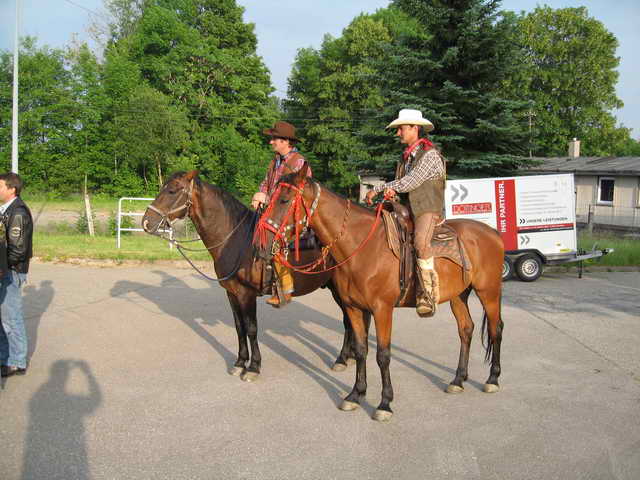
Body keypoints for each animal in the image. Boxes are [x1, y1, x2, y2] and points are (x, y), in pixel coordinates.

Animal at [142, 170, 361, 382]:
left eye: (172, 191)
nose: (146, 222)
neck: (235, 240)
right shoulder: (232, 293)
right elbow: (239, 328)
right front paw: (240, 363)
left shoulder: (246, 294)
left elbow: (252, 328)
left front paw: (253, 367)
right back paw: (347, 357)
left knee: (348, 321)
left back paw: (342, 358)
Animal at [258, 164, 505, 422]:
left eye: (284, 200)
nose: (263, 244)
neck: (361, 248)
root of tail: (492, 232)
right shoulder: (354, 308)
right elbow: (361, 350)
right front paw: (355, 394)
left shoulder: (382, 310)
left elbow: (383, 355)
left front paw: (385, 403)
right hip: (458, 296)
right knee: (466, 330)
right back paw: (458, 380)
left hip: (488, 292)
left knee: (496, 329)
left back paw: (492, 379)